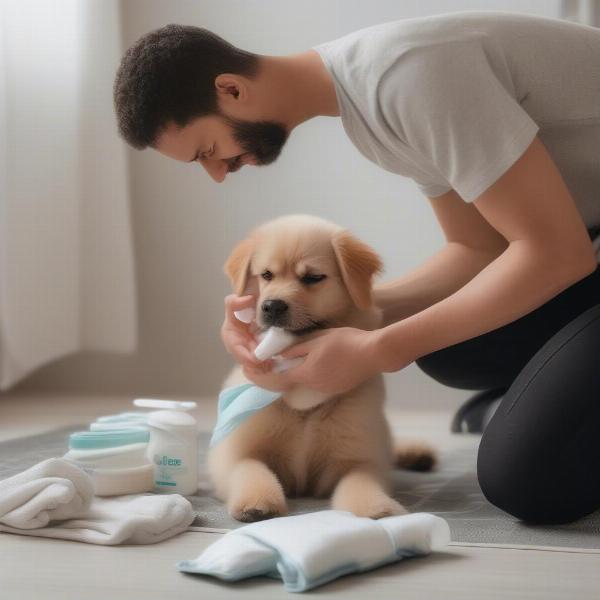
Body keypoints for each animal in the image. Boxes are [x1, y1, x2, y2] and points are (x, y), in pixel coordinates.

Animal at [211, 214, 436, 520]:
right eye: (266, 275)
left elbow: (360, 482)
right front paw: (256, 501)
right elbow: (251, 470)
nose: (272, 306)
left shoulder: (357, 458)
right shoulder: (235, 454)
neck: (303, 405)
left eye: (312, 278)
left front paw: (376, 508)